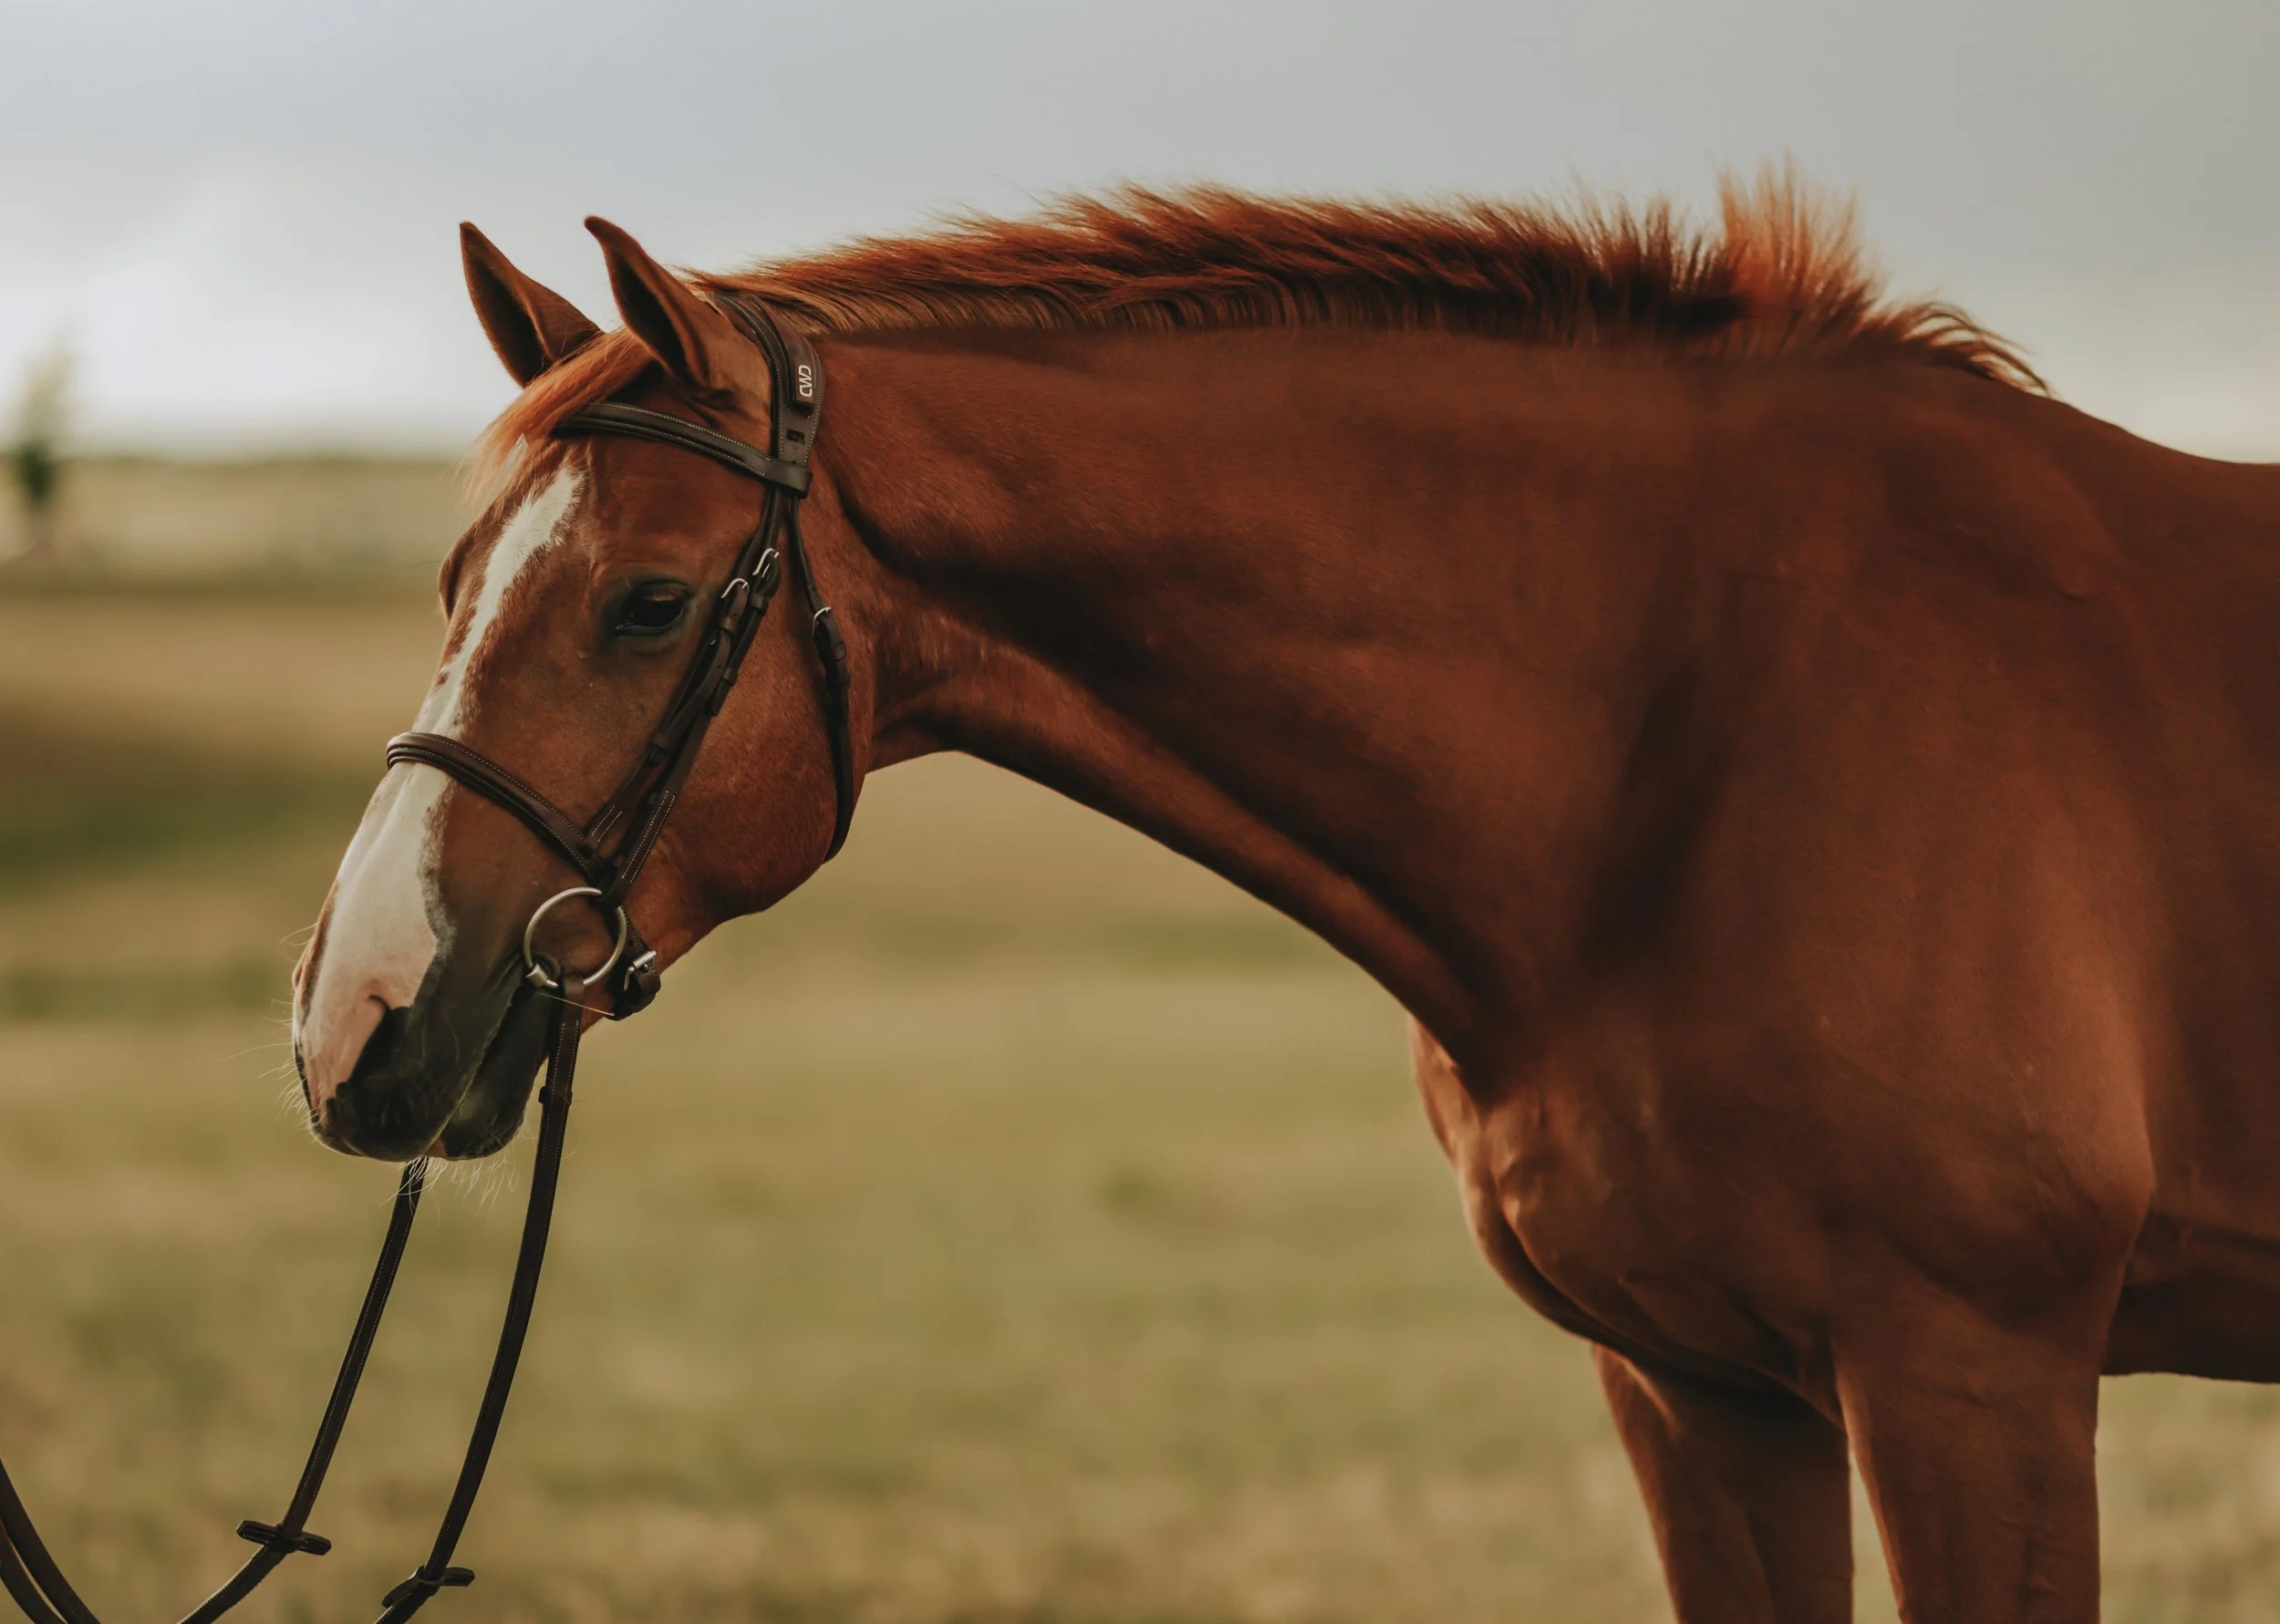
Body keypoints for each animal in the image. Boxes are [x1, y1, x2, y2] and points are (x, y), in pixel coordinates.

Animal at [289, 176, 2280, 1623]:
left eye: (645, 601)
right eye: (453, 576)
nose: (353, 1020)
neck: (1708, 719)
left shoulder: (1970, 1385)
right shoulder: (1698, 1390)